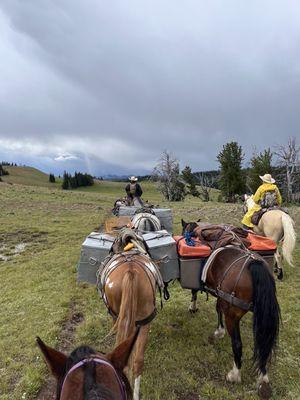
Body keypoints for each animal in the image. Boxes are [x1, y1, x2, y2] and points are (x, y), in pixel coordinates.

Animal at [183, 220, 282, 398]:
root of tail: (254, 264)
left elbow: (198, 294)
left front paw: (193, 308)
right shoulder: (220, 295)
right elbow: (217, 308)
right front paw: (219, 330)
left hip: (233, 316)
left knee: (237, 343)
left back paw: (234, 374)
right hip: (262, 314)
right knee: (263, 342)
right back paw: (263, 378)